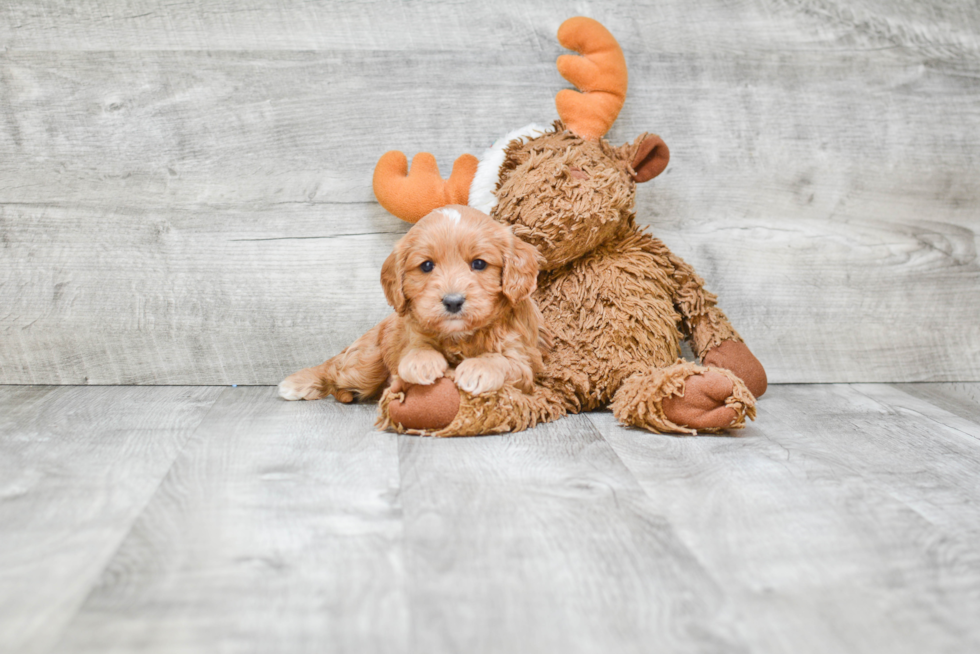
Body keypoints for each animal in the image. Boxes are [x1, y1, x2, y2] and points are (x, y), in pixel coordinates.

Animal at [280, 205, 548, 408]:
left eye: (479, 264)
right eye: (427, 266)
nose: (453, 301)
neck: (460, 336)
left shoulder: (524, 362)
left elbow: (502, 360)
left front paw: (478, 368)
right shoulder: (411, 335)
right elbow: (415, 349)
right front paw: (422, 362)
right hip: (365, 365)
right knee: (334, 369)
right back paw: (300, 384)